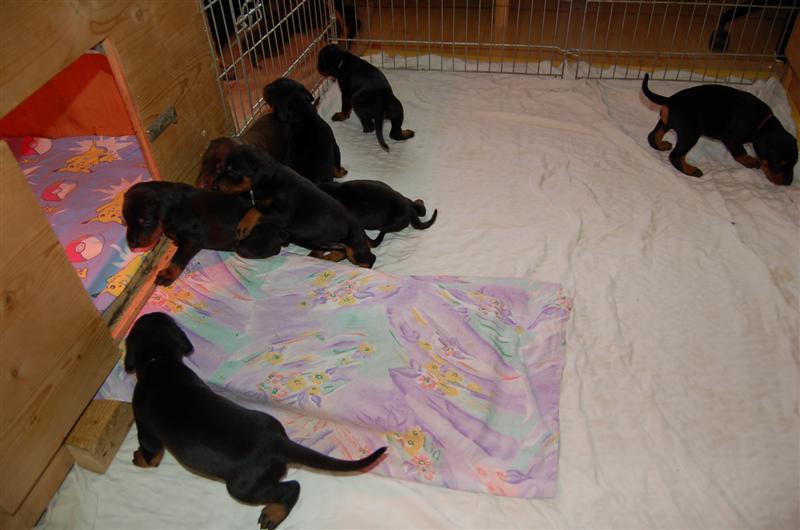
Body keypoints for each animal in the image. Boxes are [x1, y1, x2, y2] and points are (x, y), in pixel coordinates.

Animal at [123, 181, 284, 286]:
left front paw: (168, 274)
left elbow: (177, 259)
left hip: (244, 246)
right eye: (125, 221)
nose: (131, 244)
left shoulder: (192, 241)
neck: (173, 210)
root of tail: (279, 232)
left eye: (146, 221)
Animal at [125, 312, 386, 530]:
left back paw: (273, 514)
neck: (159, 359)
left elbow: (150, 449)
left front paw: (141, 459)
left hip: (243, 487)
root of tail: (278, 442)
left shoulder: (145, 426)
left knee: (292, 487)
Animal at [213, 144, 377, 267]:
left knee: (369, 259)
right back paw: (324, 258)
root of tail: (363, 232)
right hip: (332, 243)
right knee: (340, 253)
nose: (214, 186)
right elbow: (257, 207)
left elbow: (256, 210)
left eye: (232, 171)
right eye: (221, 167)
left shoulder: (283, 213)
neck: (270, 180)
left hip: (355, 248)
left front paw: (244, 226)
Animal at [642, 73, 797, 185]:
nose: (788, 183)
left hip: (666, 122)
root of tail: (670, 100)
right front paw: (751, 161)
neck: (763, 123)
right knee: (676, 156)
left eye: (794, 163)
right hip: (690, 134)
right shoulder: (732, 138)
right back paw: (691, 170)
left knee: (653, 136)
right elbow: (740, 152)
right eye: (780, 163)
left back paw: (662, 145)